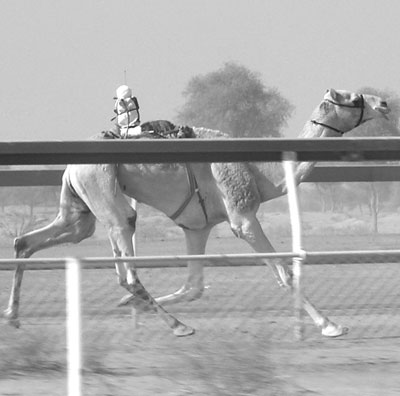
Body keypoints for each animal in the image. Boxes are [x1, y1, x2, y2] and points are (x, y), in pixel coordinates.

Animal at [3, 89, 390, 338]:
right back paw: (178, 326)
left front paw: (129, 306)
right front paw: (331, 325)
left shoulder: (197, 227)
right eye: (353, 98)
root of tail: (70, 166)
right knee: (127, 262)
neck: (261, 173)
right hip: (105, 194)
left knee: (30, 240)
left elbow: (193, 286)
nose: (384, 102)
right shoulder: (242, 217)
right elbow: (284, 272)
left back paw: (13, 316)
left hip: (78, 206)